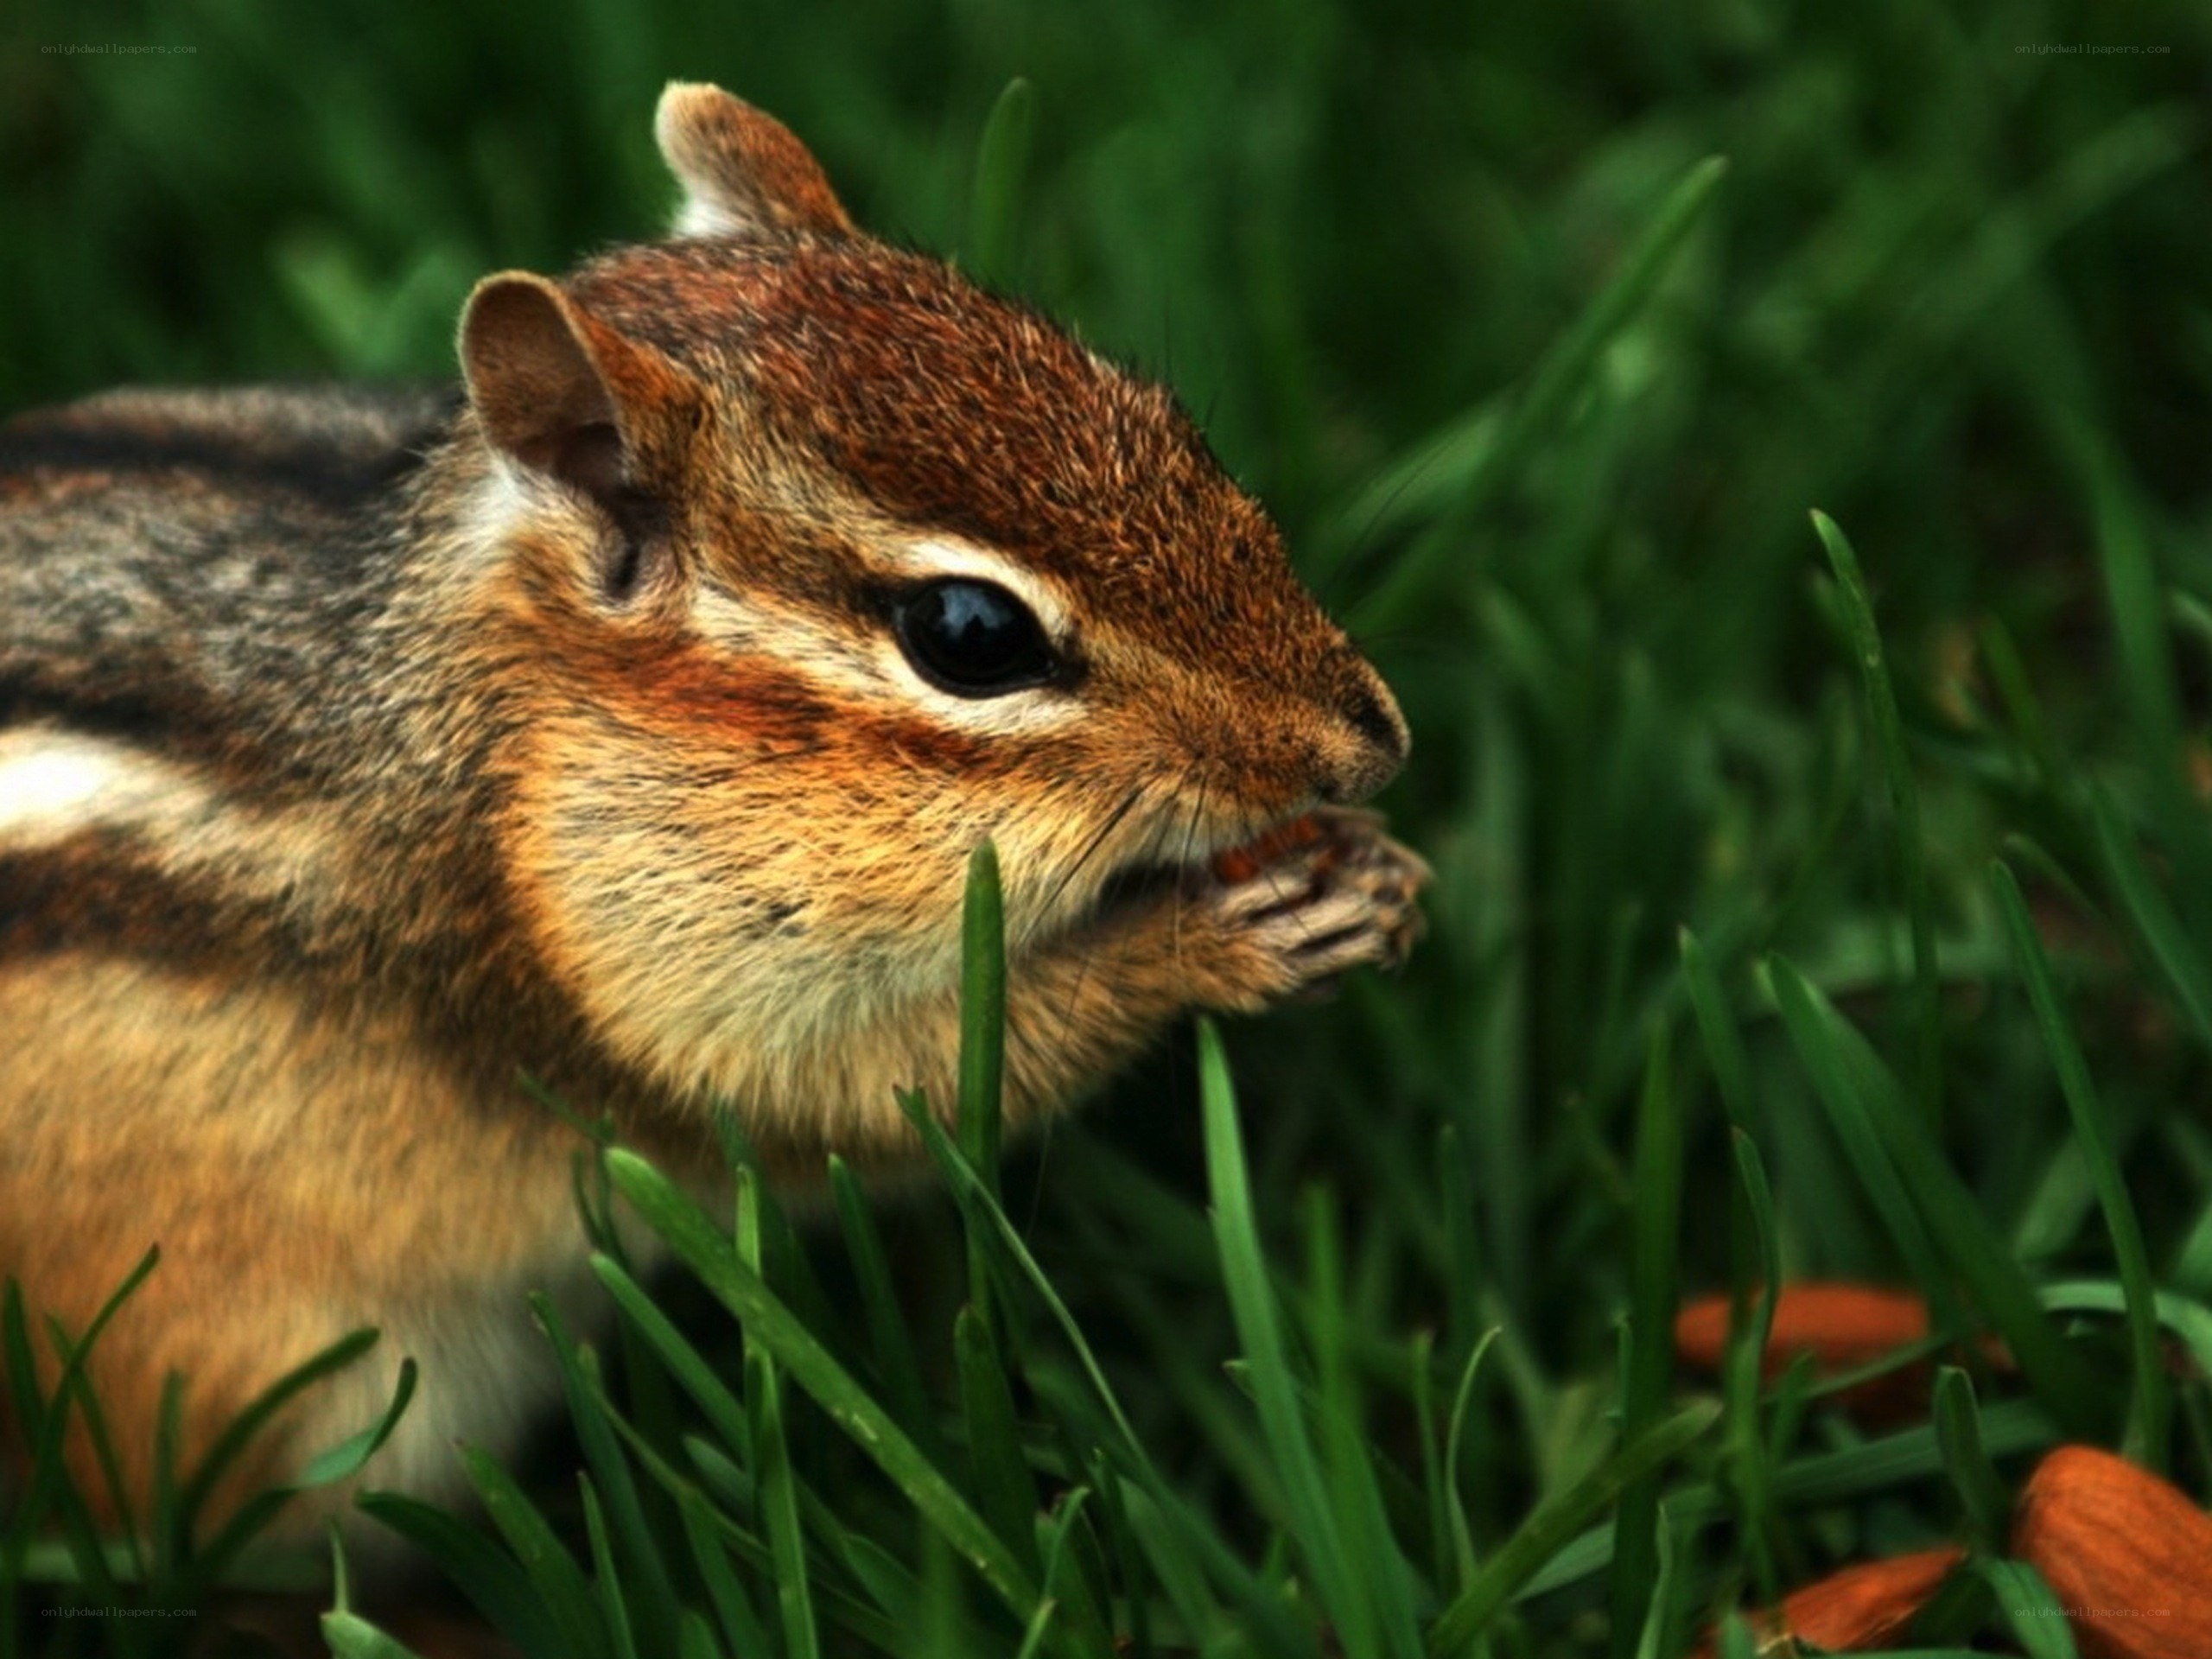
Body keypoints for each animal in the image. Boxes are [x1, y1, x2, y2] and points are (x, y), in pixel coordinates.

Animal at [0, 84, 1427, 1548]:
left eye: (1160, 418)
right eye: (969, 635)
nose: (1371, 743)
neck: (501, 731)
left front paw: (1374, 872)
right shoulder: (659, 993)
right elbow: (896, 1091)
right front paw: (1216, 941)